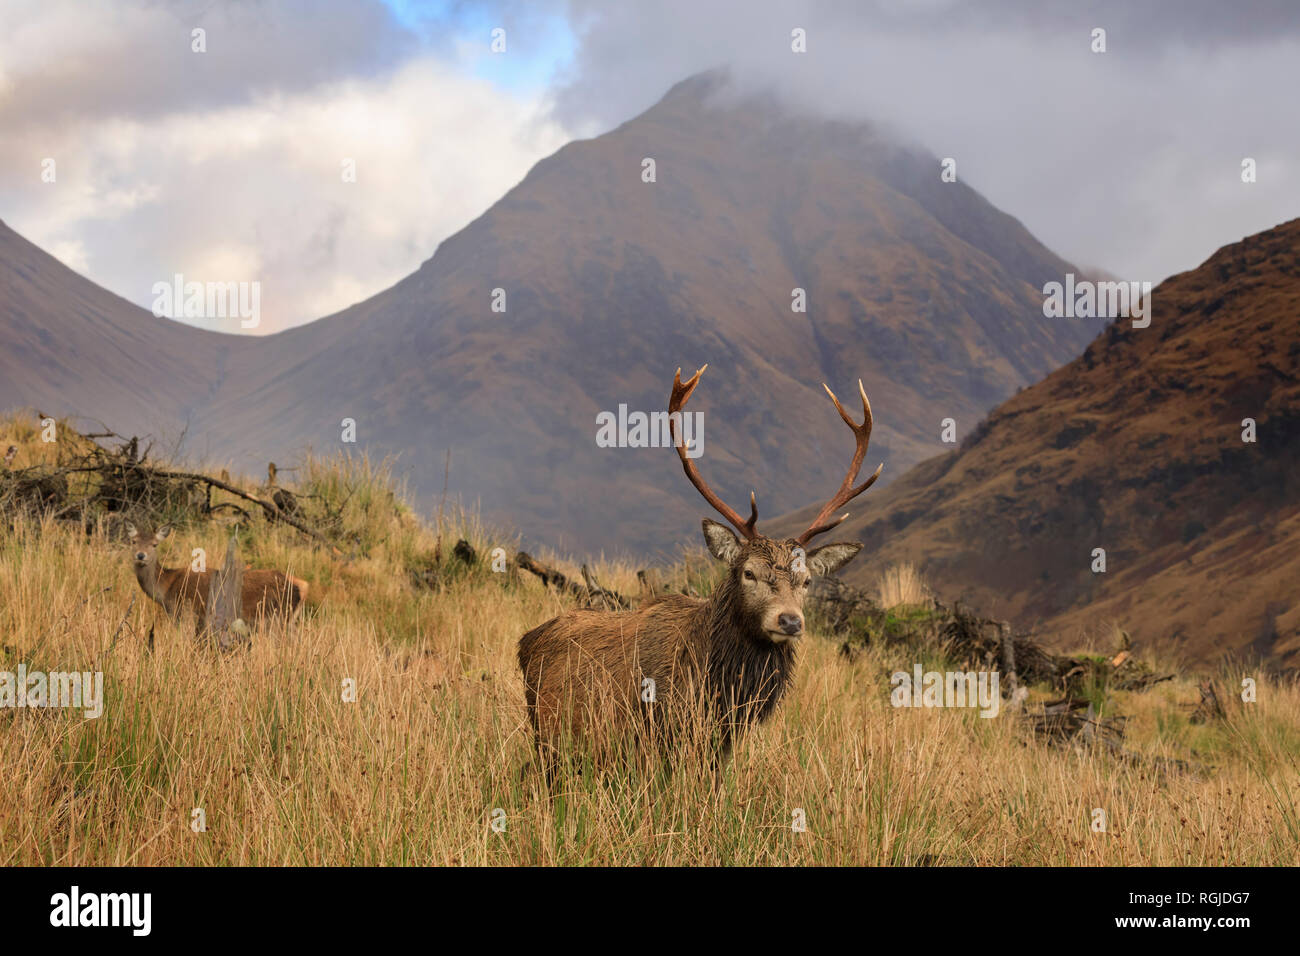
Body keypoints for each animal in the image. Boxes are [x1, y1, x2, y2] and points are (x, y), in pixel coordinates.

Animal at [125, 524, 307, 634]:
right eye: (133, 541)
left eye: (154, 544)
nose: (140, 555)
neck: (167, 589)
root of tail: (302, 586)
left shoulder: (187, 614)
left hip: (275, 619)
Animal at [517, 365, 882, 779]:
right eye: (748, 573)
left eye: (806, 581)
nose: (790, 621)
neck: (717, 689)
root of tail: (526, 641)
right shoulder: (654, 738)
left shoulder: (718, 746)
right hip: (549, 736)